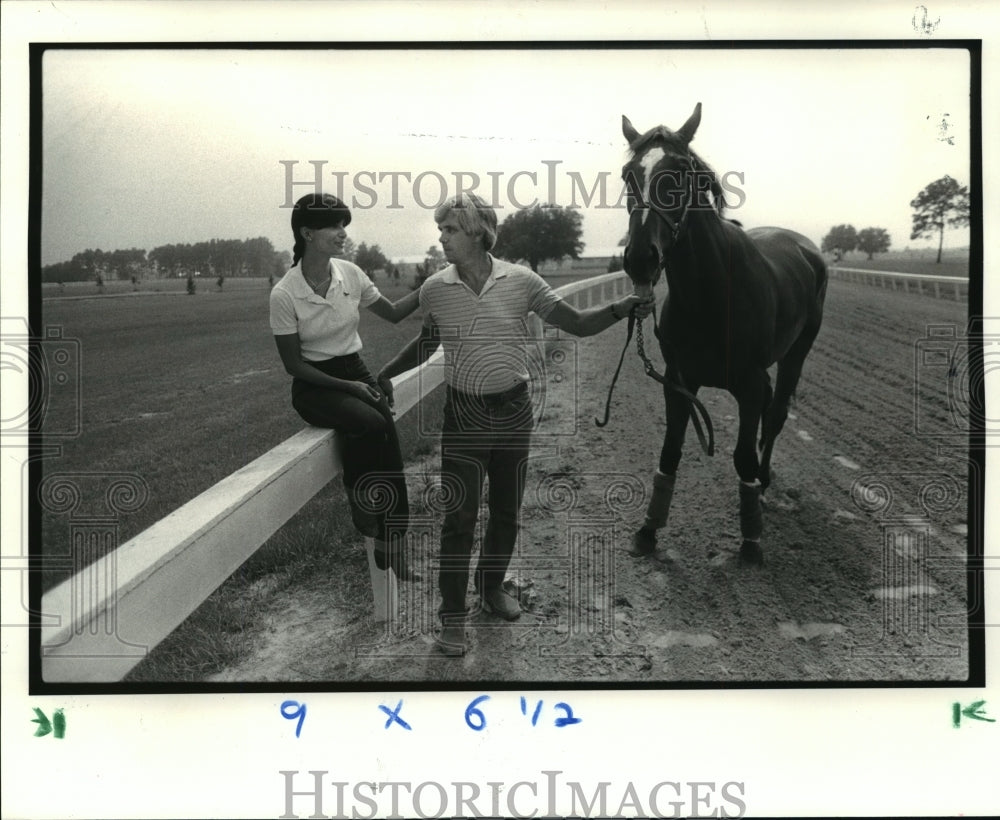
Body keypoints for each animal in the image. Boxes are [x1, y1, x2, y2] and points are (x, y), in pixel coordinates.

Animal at [620, 104, 832, 564]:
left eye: (682, 171)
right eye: (629, 173)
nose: (640, 258)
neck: (711, 295)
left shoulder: (750, 384)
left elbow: (742, 457)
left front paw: (751, 540)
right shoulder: (678, 380)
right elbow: (670, 452)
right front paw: (648, 530)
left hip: (796, 353)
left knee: (776, 414)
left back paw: (765, 482)